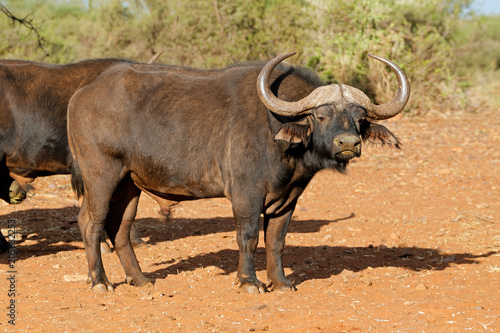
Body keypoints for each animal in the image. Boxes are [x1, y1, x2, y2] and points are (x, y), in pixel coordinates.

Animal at [67, 52, 410, 294]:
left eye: (360, 118)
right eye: (321, 115)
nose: (348, 143)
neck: (277, 130)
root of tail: (81, 94)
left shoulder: (287, 199)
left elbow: (276, 240)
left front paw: (280, 282)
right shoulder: (247, 193)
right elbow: (248, 237)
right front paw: (249, 281)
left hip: (130, 184)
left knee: (120, 228)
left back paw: (139, 279)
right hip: (101, 175)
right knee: (90, 222)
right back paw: (100, 281)